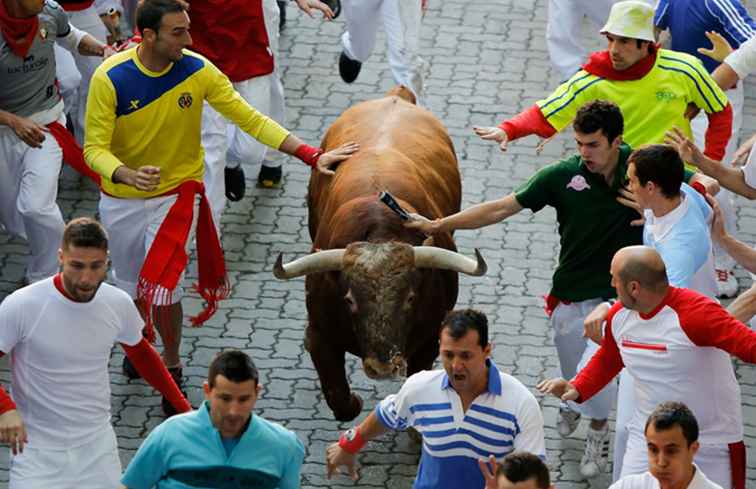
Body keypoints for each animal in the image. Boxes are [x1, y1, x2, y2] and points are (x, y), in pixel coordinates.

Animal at [272, 86, 484, 420]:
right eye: (349, 300)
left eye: (410, 298)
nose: (384, 366)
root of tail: (395, 97)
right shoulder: (319, 334)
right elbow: (338, 397)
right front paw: (354, 403)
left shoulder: (430, 339)